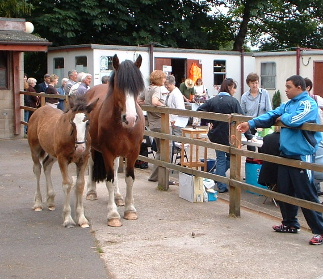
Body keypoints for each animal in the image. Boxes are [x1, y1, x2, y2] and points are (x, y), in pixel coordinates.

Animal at [27, 95, 98, 229]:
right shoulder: (62, 159)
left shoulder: (83, 159)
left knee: (46, 166)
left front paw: (82, 219)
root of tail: (39, 110)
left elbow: (80, 184)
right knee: (37, 169)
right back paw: (38, 203)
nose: (80, 148)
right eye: (72, 122)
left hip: (52, 154)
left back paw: (50, 201)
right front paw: (68, 219)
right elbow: (67, 184)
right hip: (35, 149)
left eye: (88, 122)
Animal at [87, 54, 146, 228]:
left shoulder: (133, 152)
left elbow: (129, 179)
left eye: (138, 87)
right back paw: (91, 192)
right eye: (119, 87)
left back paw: (118, 196)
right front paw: (113, 215)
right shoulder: (107, 152)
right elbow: (109, 180)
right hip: (92, 147)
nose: (131, 119)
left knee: (115, 167)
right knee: (92, 164)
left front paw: (130, 210)